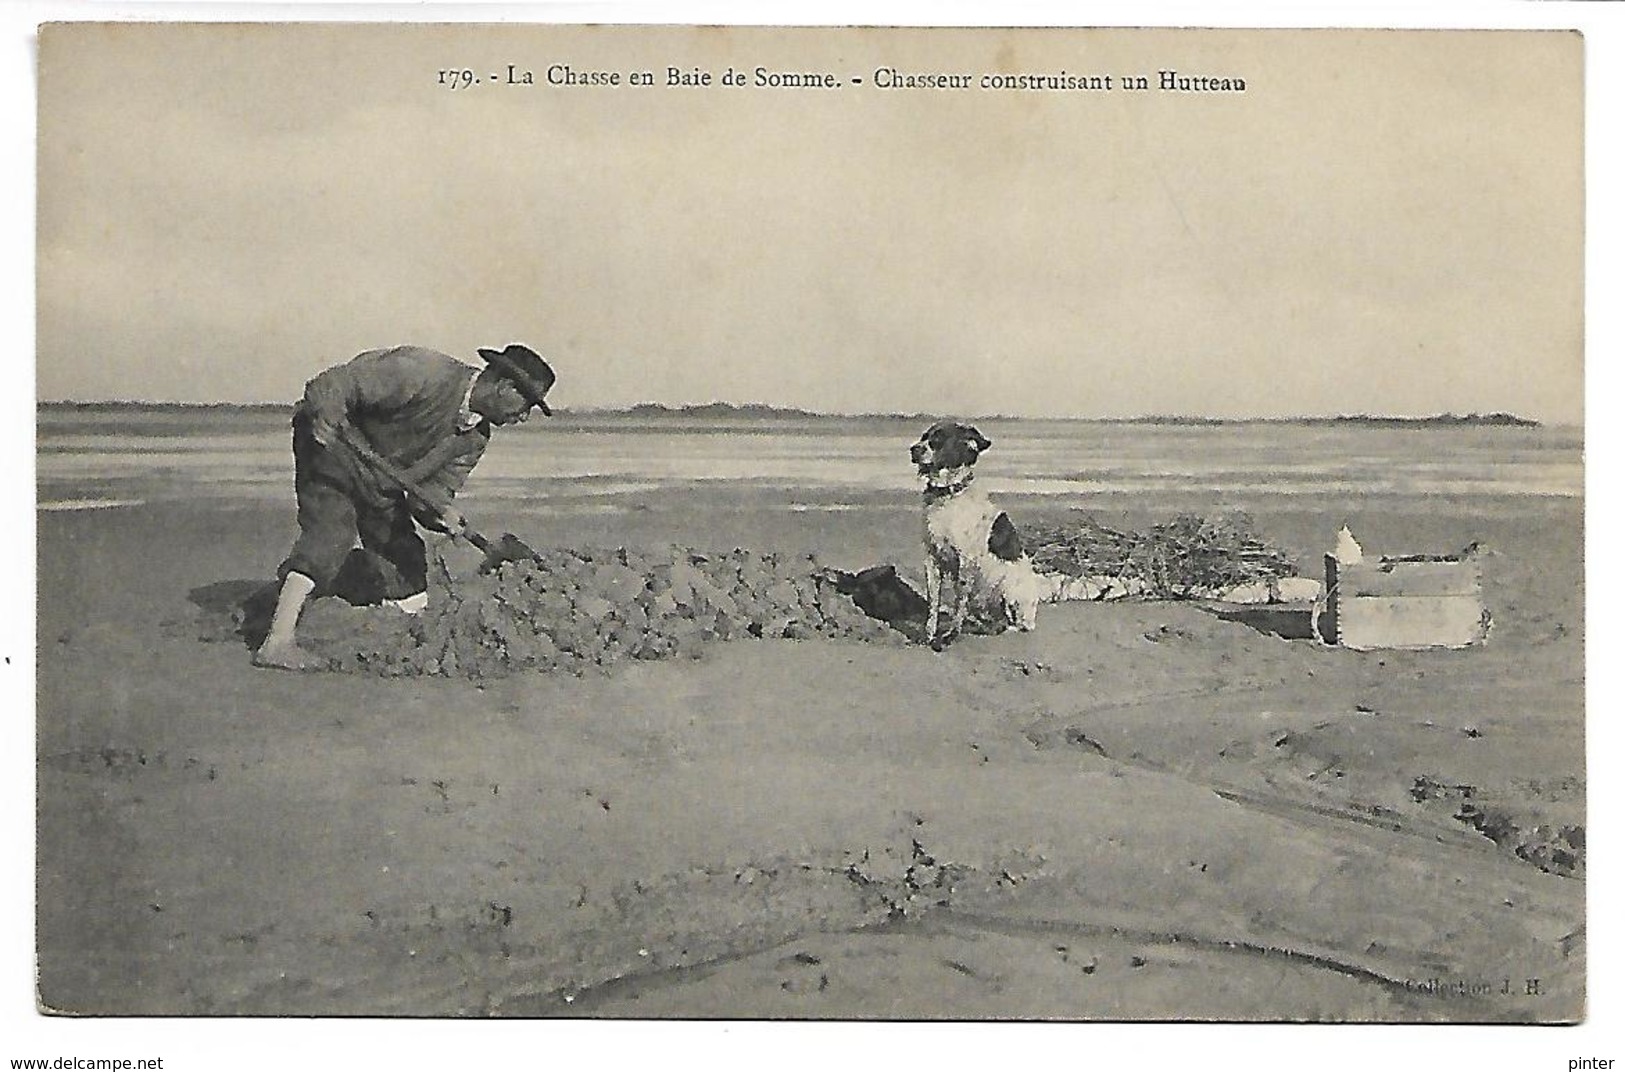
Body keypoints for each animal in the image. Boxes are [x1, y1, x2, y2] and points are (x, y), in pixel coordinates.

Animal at [910, 419, 1046, 646]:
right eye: (923, 437)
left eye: (938, 439)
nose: (913, 449)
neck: (948, 497)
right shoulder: (932, 558)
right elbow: (933, 603)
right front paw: (929, 634)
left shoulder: (965, 561)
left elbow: (959, 602)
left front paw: (950, 635)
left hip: (1008, 589)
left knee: (1016, 624)